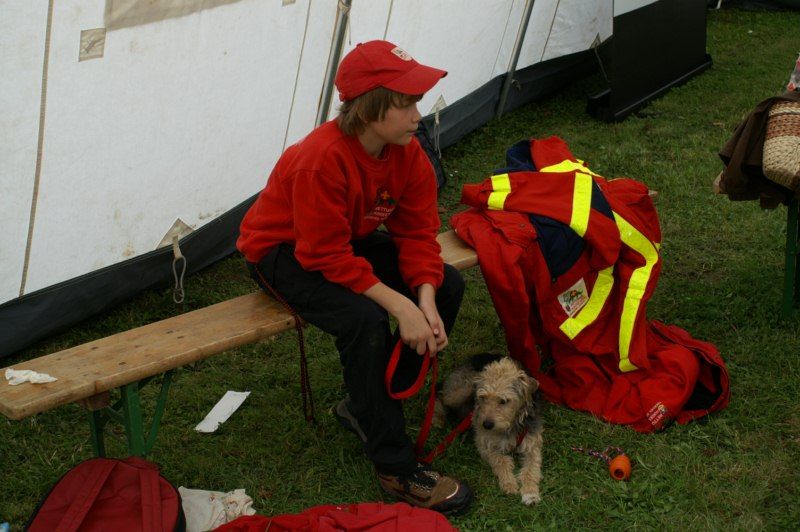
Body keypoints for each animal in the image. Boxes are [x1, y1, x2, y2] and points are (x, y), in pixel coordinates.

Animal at [433, 354, 543, 505]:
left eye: (504, 401)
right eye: (482, 397)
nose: (486, 425)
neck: (509, 427)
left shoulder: (532, 444)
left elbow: (531, 470)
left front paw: (530, 493)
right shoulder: (484, 443)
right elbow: (501, 460)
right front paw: (509, 483)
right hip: (460, 392)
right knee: (439, 394)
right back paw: (437, 418)